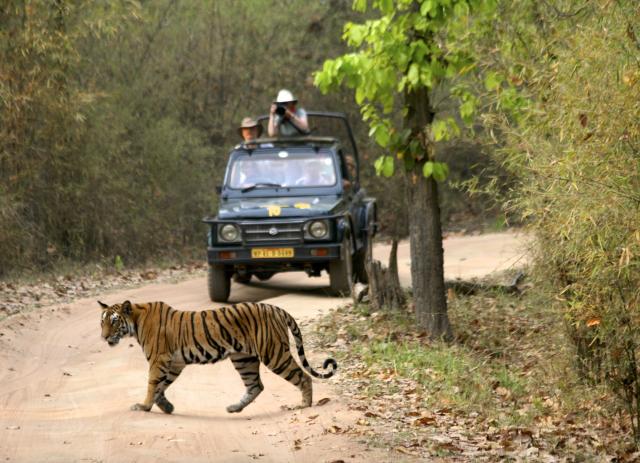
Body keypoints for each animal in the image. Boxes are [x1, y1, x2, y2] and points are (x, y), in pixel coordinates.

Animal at [98, 300, 337, 414]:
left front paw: (144, 406)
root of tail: (277, 308)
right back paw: (235, 407)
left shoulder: (159, 360)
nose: (103, 337)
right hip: (243, 358)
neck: (136, 321)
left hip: (274, 353)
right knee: (256, 385)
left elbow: (152, 385)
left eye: (114, 322)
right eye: (102, 322)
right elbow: (161, 386)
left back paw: (304, 405)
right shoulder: (174, 363)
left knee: (303, 377)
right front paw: (165, 407)